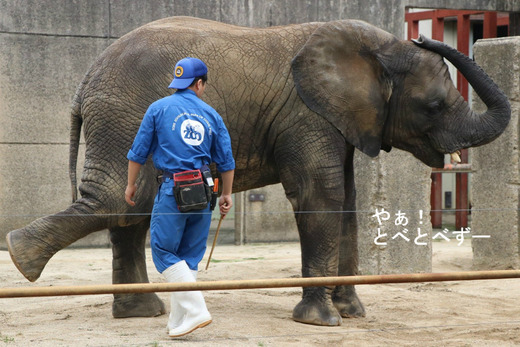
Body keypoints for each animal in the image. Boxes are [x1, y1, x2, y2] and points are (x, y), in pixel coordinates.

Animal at [6, 15, 510, 326]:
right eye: (434, 106)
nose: (423, 35)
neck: (377, 48)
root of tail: (84, 82)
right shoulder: (305, 116)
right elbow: (319, 196)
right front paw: (323, 322)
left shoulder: (334, 118)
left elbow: (346, 198)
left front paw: (352, 314)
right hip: (125, 115)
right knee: (117, 201)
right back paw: (20, 257)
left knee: (132, 205)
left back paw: (140, 313)